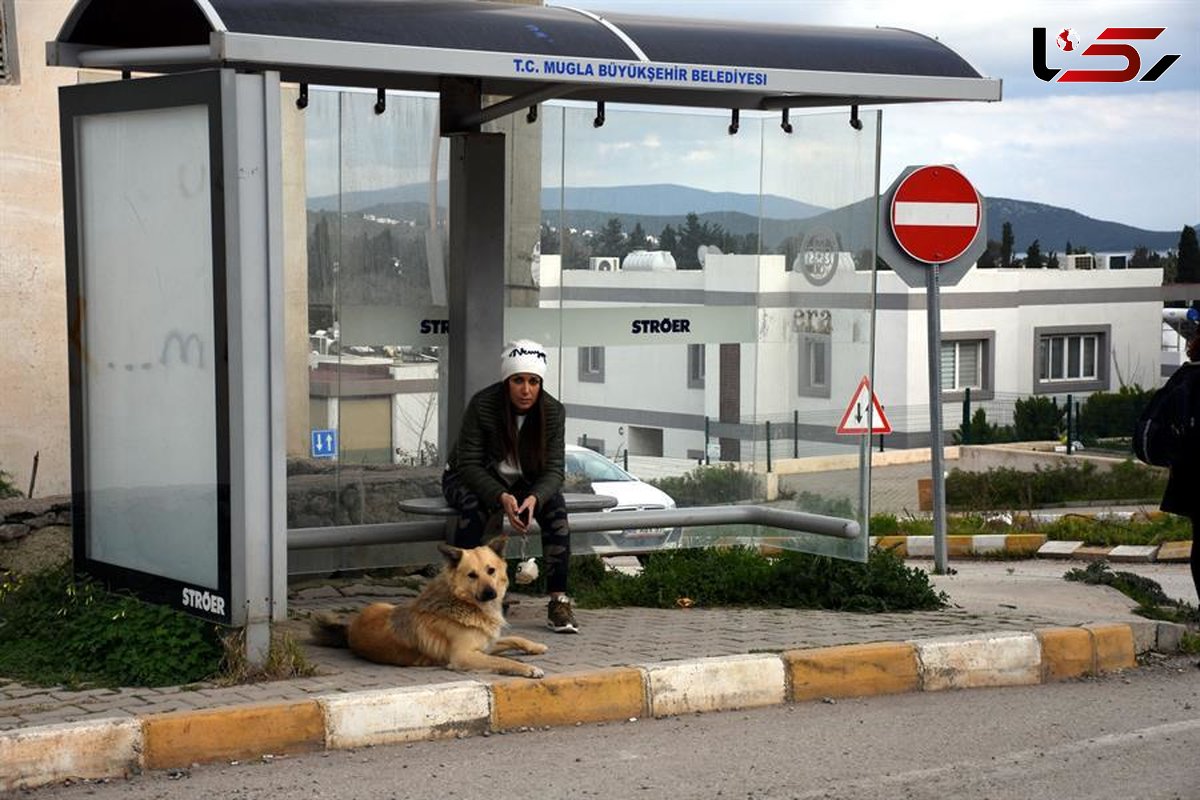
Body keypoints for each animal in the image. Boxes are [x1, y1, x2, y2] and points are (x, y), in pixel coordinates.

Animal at [312, 534, 549, 681]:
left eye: (491, 570)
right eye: (472, 575)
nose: (491, 594)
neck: (462, 604)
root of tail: (350, 628)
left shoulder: (485, 646)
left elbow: (514, 639)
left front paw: (536, 646)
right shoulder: (463, 656)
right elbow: (503, 660)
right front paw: (529, 668)